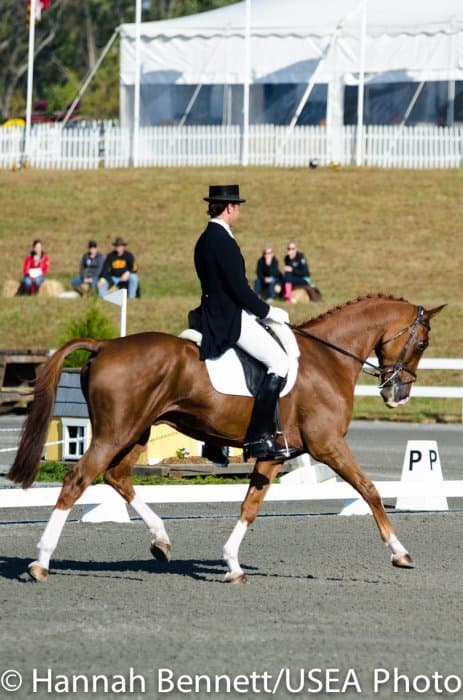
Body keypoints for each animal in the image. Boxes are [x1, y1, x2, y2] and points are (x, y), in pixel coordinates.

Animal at [8, 294, 444, 584]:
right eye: (422, 343)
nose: (398, 394)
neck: (328, 359)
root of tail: (105, 344)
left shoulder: (273, 453)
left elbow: (250, 505)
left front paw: (232, 564)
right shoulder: (328, 445)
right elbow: (370, 490)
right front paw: (400, 553)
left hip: (136, 432)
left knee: (117, 477)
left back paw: (161, 542)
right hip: (115, 432)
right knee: (77, 480)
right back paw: (41, 563)